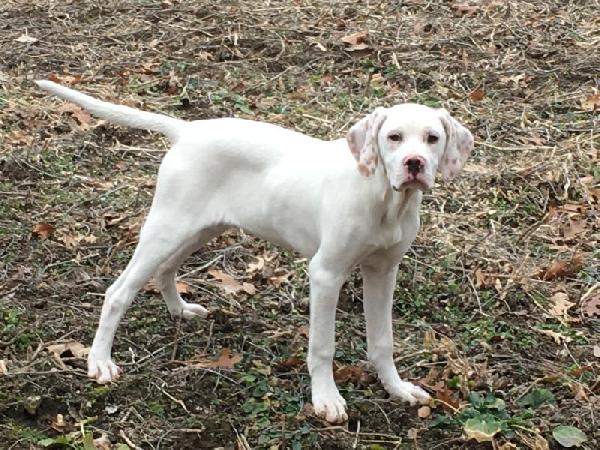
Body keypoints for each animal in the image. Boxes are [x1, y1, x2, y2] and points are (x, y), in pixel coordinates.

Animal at [35, 79, 474, 424]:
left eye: (432, 138)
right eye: (393, 137)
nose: (414, 163)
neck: (383, 198)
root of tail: (187, 130)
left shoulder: (383, 271)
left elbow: (383, 340)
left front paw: (396, 389)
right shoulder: (326, 274)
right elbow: (322, 345)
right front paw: (326, 399)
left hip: (201, 227)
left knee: (166, 269)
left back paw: (179, 310)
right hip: (167, 227)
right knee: (118, 292)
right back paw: (100, 361)